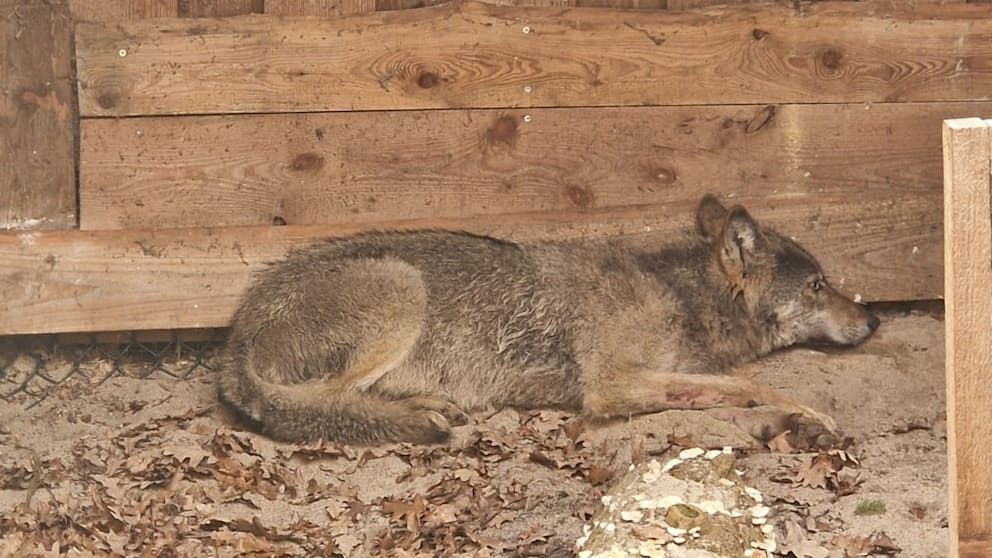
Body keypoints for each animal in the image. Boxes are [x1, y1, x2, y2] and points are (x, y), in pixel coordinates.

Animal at [217, 195, 879, 448]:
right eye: (819, 285)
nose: (874, 319)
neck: (679, 295)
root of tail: (235, 338)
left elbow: (728, 390)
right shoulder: (611, 386)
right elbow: (750, 384)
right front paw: (808, 416)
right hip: (401, 287)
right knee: (319, 405)